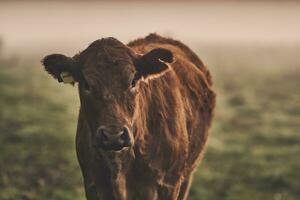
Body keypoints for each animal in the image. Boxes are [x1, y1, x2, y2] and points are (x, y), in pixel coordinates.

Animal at [42, 33, 216, 199]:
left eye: (133, 81)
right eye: (86, 84)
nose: (113, 135)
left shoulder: (168, 185)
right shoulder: (93, 184)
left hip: (187, 175)